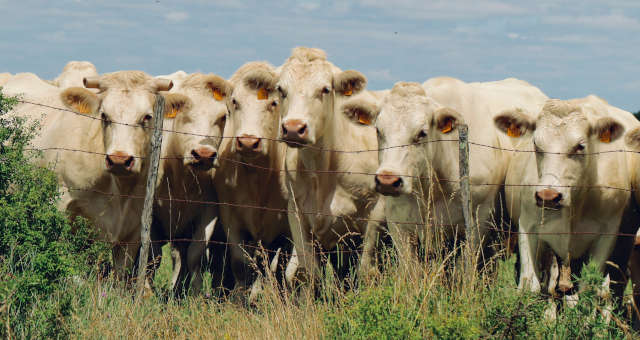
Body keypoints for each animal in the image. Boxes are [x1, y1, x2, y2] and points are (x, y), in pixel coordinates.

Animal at [276, 46, 384, 282]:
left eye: (325, 89)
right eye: (280, 89)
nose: (293, 128)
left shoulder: (374, 212)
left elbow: (365, 268)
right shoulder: (296, 213)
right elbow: (310, 272)